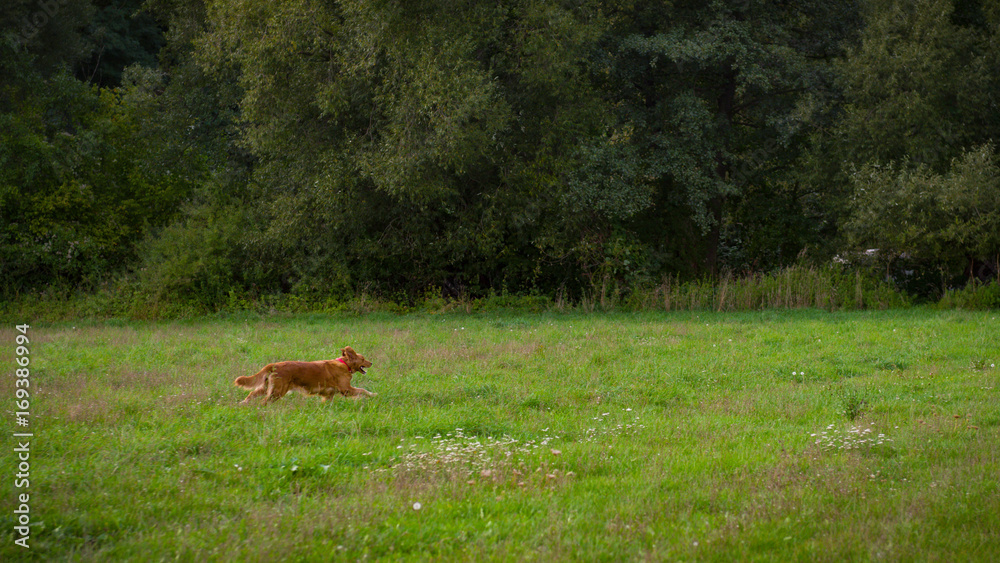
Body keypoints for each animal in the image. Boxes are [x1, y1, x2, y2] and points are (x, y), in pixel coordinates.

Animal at [236, 344, 376, 406]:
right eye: (363, 359)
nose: (371, 363)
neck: (344, 363)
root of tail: (274, 364)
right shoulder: (346, 389)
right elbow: (362, 390)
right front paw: (373, 394)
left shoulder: (329, 394)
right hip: (277, 391)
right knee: (263, 402)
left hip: (267, 388)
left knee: (251, 394)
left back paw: (242, 404)